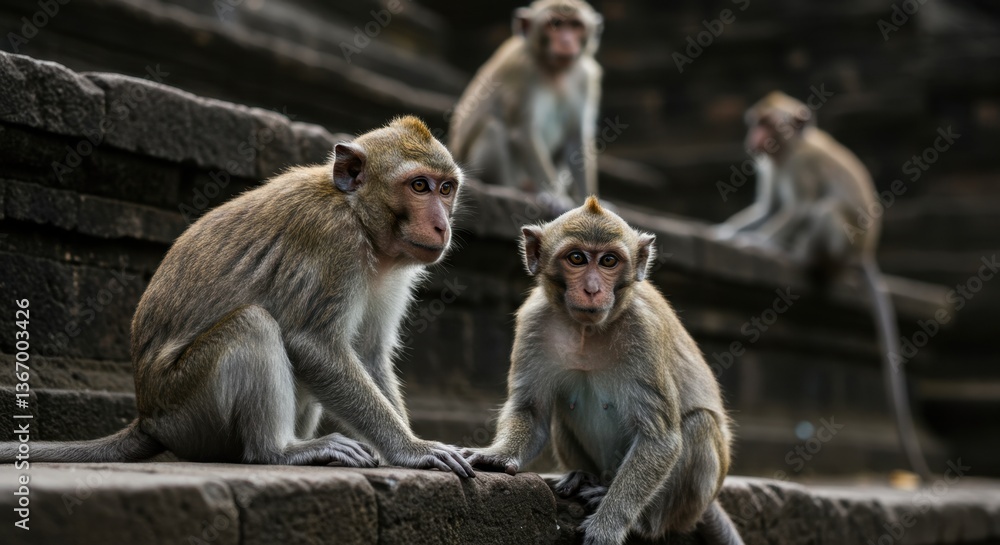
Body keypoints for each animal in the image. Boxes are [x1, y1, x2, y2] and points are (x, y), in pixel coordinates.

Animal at [0, 116, 475, 478]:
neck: (357, 214)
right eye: (418, 186)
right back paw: (280, 451)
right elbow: (313, 345)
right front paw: (413, 450)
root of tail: (147, 416)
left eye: (446, 188)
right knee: (254, 325)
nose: (441, 226)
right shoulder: (332, 240)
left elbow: (367, 353)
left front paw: (405, 444)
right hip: (188, 410)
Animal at [448, 0, 603, 213]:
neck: (554, 70)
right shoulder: (520, 70)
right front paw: (555, 196)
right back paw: (508, 189)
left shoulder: (585, 77)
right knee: (494, 127)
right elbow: (523, 131)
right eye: (555, 24)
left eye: (575, 25)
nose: (565, 40)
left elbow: (576, 139)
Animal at [463, 197, 744, 545]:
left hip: (690, 505)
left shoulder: (643, 330)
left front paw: (608, 525)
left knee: (700, 424)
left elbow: (658, 439)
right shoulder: (534, 321)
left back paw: (640, 518)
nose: (593, 289)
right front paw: (498, 456)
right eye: (576, 258)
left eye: (609, 260)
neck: (588, 330)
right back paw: (584, 476)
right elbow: (531, 410)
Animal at [713, 91, 932, 480]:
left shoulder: (801, 166)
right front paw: (724, 232)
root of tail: (865, 253)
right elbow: (767, 208)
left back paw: (795, 255)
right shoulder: (772, 167)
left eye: (767, 124)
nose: (753, 139)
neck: (788, 149)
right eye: (755, 122)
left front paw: (758, 245)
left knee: (823, 210)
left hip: (843, 243)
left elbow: (797, 209)